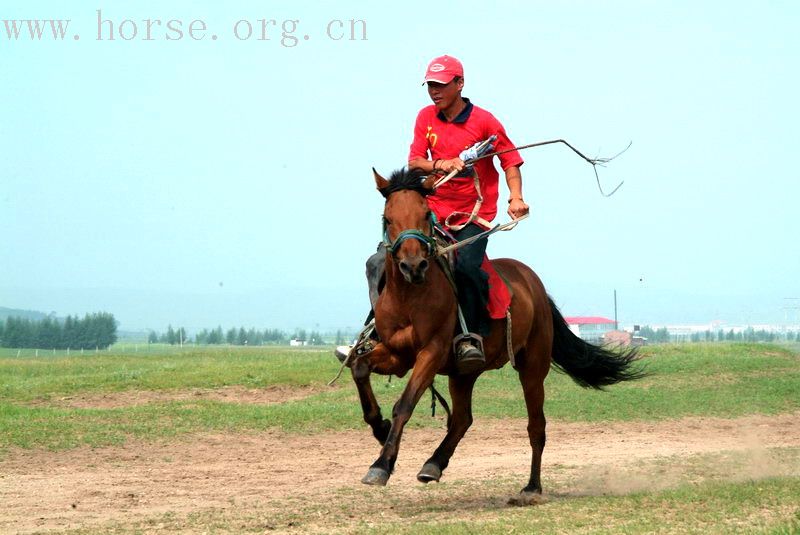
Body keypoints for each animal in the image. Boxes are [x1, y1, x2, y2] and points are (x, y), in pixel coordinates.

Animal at [346, 168, 640, 502]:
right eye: (388, 217)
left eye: (425, 214)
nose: (413, 265)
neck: (410, 296)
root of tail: (533, 284)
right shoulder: (397, 353)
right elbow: (360, 368)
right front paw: (380, 428)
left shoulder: (430, 353)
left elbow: (405, 404)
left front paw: (381, 464)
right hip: (463, 372)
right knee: (462, 418)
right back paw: (433, 464)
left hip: (532, 367)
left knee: (536, 427)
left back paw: (532, 487)